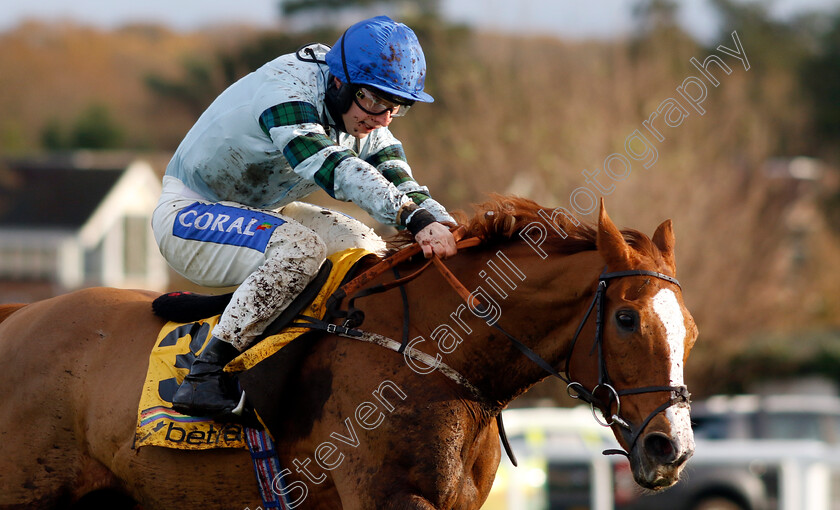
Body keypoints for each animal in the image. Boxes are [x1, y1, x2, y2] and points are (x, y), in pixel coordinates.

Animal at [0, 197, 696, 508]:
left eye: (688, 330)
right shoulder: (388, 500)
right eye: (627, 318)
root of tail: (22, 316)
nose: (673, 448)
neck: (436, 356)